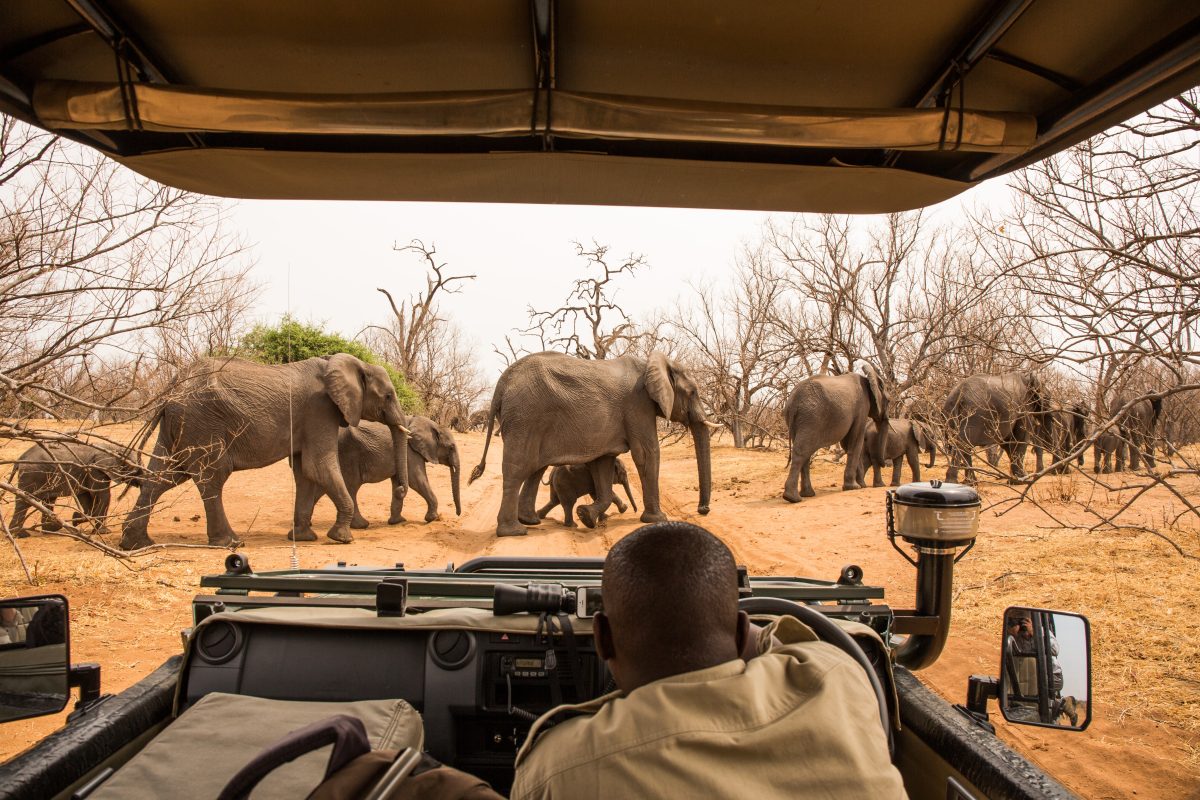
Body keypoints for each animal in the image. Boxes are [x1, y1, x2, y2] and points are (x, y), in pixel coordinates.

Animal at [7, 441, 144, 536]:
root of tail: (20, 458)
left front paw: (75, 520)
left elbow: (84, 496)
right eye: (136, 470)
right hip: (32, 474)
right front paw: (104, 532)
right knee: (24, 501)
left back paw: (52, 529)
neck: (111, 447)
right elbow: (102, 495)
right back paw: (21, 535)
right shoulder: (95, 470)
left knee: (49, 500)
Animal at [119, 354, 410, 550]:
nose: (399, 489)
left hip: (180, 426)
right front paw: (342, 538)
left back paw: (136, 544)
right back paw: (230, 543)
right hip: (202, 422)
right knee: (211, 477)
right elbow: (319, 466)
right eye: (388, 396)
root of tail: (169, 393)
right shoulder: (319, 409)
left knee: (163, 477)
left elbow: (305, 472)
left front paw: (303, 538)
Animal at [294, 416, 461, 531]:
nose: (458, 514)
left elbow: (398, 481)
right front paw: (432, 518)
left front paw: (397, 521)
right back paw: (361, 525)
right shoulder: (411, 453)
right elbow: (417, 480)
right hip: (347, 453)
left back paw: (307, 524)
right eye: (451, 447)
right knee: (351, 486)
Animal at [469, 351, 714, 537]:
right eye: (693, 392)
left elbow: (603, 463)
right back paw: (514, 532)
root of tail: (501, 385)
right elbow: (646, 454)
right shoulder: (638, 406)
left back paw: (531, 522)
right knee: (518, 470)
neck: (653, 363)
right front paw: (657, 520)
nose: (703, 509)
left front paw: (586, 516)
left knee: (535, 470)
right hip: (525, 418)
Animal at [782, 364, 889, 502]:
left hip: (800, 419)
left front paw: (861, 485)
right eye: (889, 401)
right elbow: (856, 442)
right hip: (811, 417)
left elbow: (848, 443)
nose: (885, 464)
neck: (869, 378)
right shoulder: (862, 407)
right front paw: (854, 487)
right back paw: (793, 498)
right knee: (802, 451)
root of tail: (794, 401)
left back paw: (807, 494)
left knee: (805, 451)